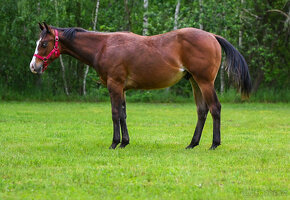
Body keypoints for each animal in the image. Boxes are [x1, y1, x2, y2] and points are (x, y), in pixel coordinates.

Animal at [30, 22, 251, 149]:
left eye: (43, 44)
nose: (34, 66)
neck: (103, 46)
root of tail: (212, 36)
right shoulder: (122, 89)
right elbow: (123, 114)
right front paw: (125, 142)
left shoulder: (114, 85)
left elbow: (115, 113)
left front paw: (115, 143)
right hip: (195, 82)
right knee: (202, 111)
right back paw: (192, 144)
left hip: (204, 82)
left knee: (215, 108)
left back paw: (214, 144)